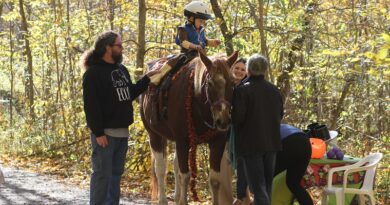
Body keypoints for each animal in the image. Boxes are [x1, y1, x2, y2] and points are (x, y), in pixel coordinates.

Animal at [140, 50, 238, 205]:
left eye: (233, 82)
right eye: (210, 83)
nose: (222, 119)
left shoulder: (217, 142)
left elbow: (215, 180)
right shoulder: (182, 140)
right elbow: (185, 176)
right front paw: (183, 200)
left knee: (175, 165)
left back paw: (176, 196)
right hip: (154, 135)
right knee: (160, 169)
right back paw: (163, 199)